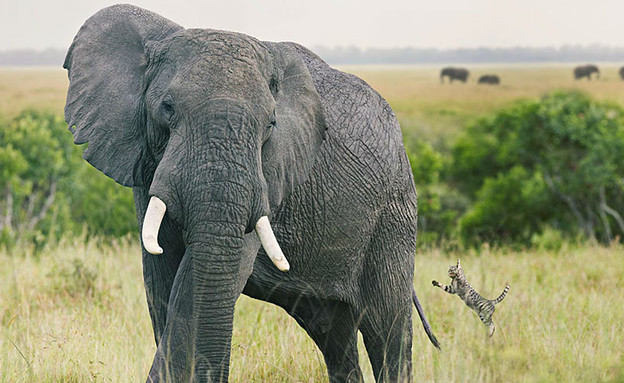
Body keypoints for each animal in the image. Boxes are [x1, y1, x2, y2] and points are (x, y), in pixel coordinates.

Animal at [64, 3, 438, 383]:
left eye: (271, 123)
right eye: (167, 108)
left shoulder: (268, 180)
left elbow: (194, 283)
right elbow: (162, 282)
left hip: (394, 212)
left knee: (387, 330)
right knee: (333, 333)